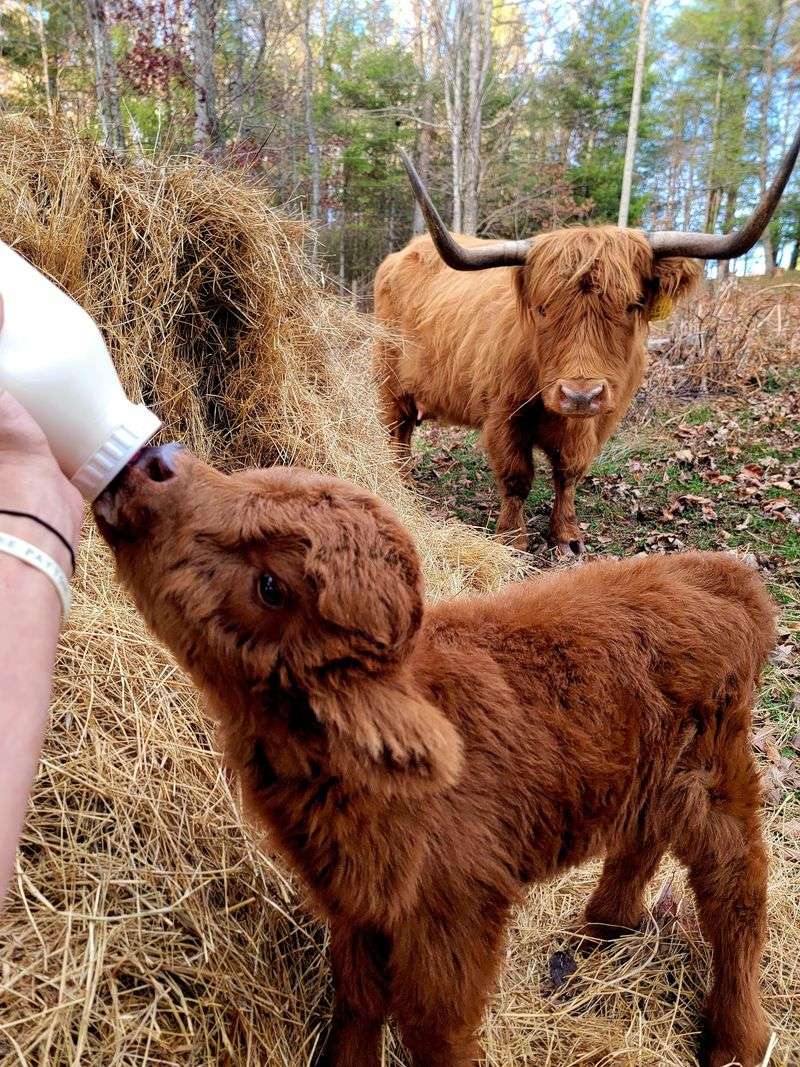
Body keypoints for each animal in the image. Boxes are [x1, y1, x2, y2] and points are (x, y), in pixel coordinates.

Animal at [373, 128, 800, 554]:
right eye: (542, 308)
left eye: (632, 305)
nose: (581, 395)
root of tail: (402, 254)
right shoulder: (504, 416)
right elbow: (516, 477)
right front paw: (513, 538)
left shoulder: (598, 420)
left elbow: (569, 472)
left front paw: (567, 535)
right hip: (389, 379)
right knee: (397, 430)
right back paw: (402, 483)